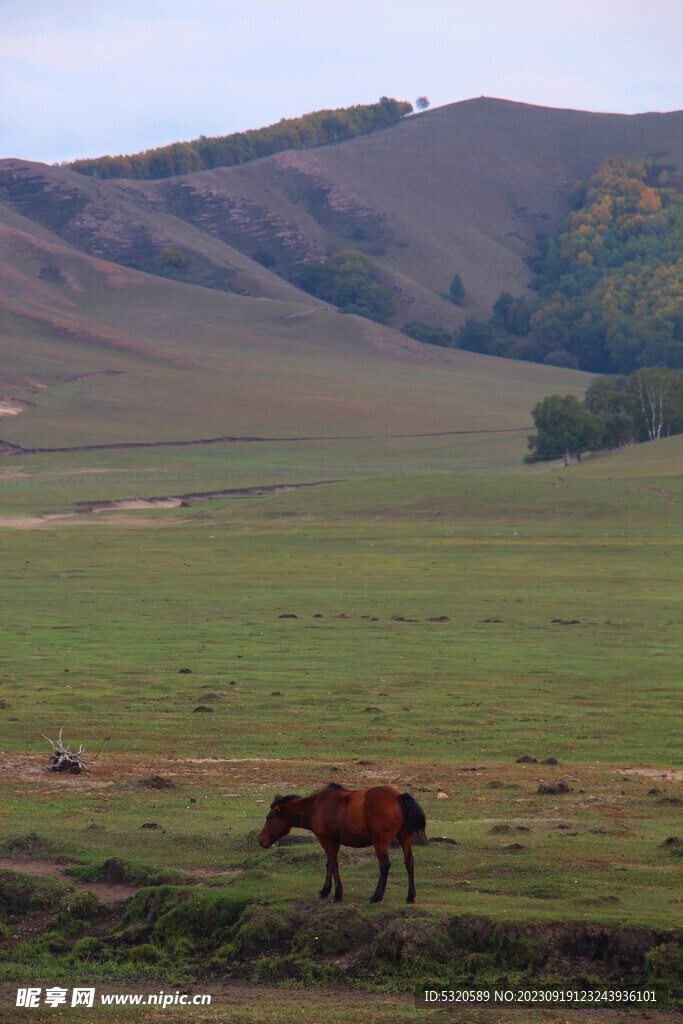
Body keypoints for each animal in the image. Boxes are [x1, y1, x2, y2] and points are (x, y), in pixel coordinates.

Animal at [258, 778, 423, 901]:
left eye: (268, 818)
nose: (260, 840)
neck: (314, 806)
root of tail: (399, 796)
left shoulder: (326, 840)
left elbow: (333, 865)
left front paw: (337, 894)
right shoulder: (334, 842)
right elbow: (329, 865)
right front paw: (325, 891)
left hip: (380, 842)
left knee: (384, 865)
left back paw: (376, 896)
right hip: (404, 836)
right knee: (409, 861)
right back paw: (410, 896)